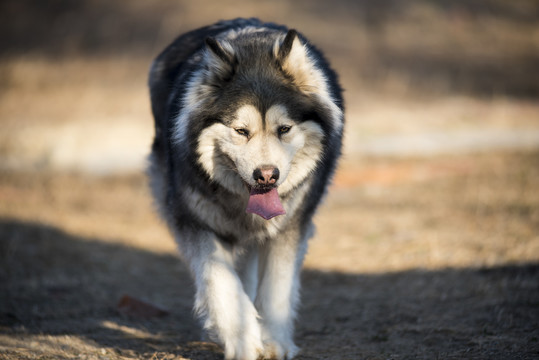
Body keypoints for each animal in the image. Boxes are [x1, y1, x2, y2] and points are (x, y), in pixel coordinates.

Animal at [148, 18, 344, 358]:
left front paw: (274, 341)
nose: (266, 176)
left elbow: (277, 287)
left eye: (284, 129)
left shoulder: (290, 228)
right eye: (241, 131)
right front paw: (243, 341)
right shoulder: (196, 223)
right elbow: (220, 283)